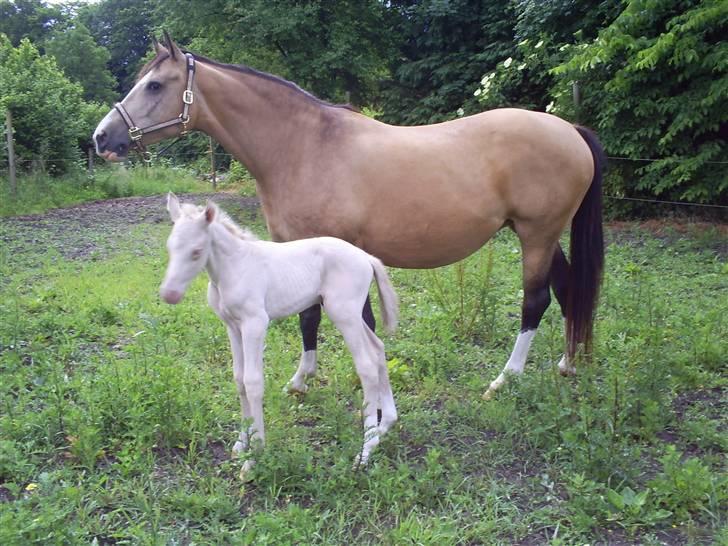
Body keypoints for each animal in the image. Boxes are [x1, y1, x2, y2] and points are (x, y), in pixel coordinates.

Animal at [92, 35, 604, 400]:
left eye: (155, 84)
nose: (101, 137)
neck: (304, 146)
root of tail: (570, 130)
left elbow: (313, 318)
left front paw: (307, 381)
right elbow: (344, 320)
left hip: (536, 234)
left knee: (535, 301)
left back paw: (505, 379)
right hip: (540, 234)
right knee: (566, 289)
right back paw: (568, 364)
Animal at [160, 193, 400, 474]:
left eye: (196, 252)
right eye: (170, 247)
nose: (169, 294)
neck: (235, 267)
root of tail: (367, 258)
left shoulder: (255, 323)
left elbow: (253, 382)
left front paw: (255, 455)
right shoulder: (232, 325)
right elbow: (238, 378)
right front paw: (241, 443)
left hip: (344, 314)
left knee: (366, 365)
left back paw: (365, 451)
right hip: (350, 313)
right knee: (378, 348)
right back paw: (385, 425)